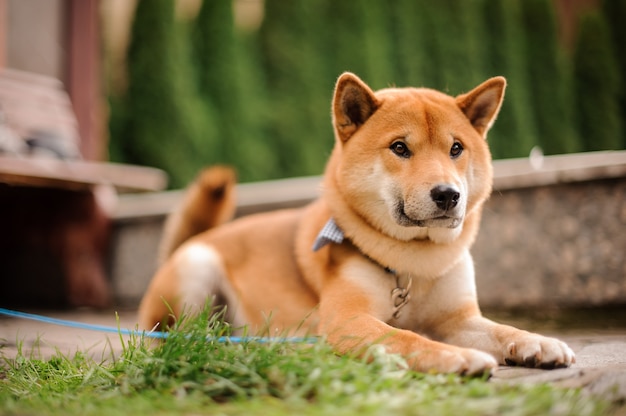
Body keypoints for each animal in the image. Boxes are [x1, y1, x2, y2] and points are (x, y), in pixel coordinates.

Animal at [139, 72, 572, 374]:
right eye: (400, 148)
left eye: (456, 148)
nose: (449, 195)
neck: (413, 264)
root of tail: (202, 236)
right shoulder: (348, 320)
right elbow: (406, 336)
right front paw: (454, 357)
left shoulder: (459, 318)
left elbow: (501, 330)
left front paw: (536, 342)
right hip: (196, 270)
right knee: (172, 334)